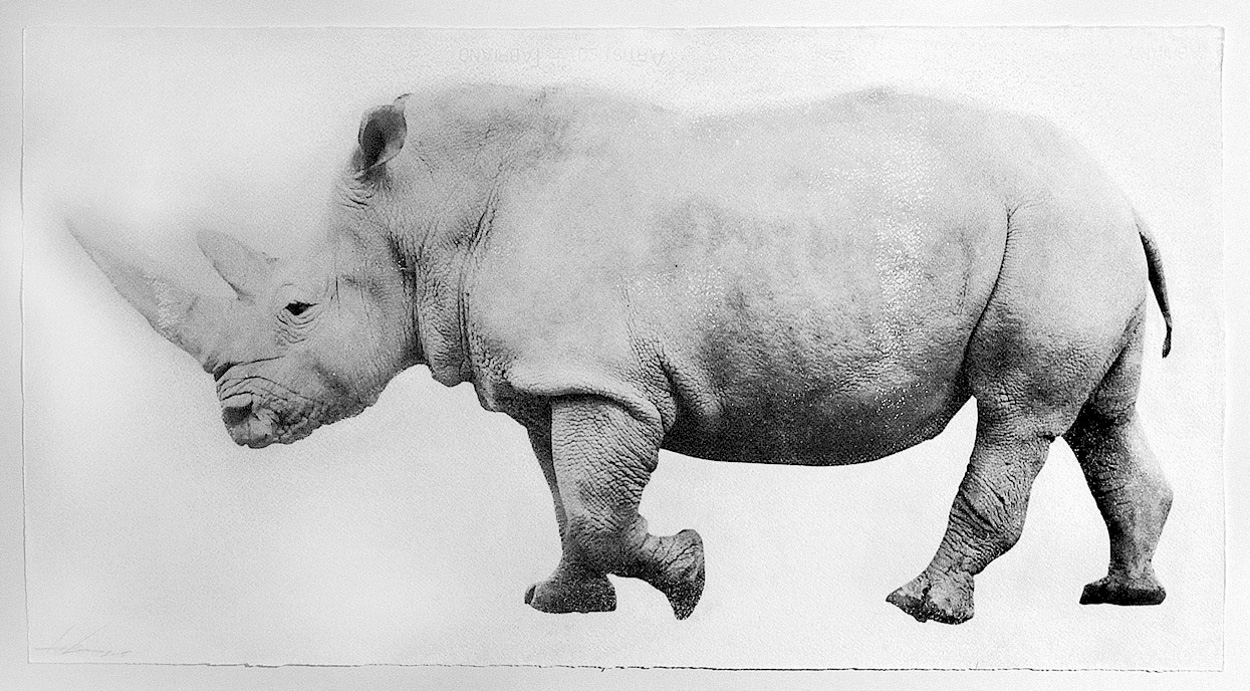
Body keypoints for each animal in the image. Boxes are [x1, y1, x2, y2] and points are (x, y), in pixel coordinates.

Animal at [70, 84, 1174, 624]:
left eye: (296, 306)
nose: (236, 419)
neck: (422, 217)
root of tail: (1122, 192)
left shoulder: (604, 381)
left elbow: (599, 504)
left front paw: (685, 582)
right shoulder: (545, 381)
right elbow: (568, 501)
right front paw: (561, 607)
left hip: (1054, 230)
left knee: (1017, 413)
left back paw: (920, 611)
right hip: (1076, 232)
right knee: (1102, 418)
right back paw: (1124, 597)